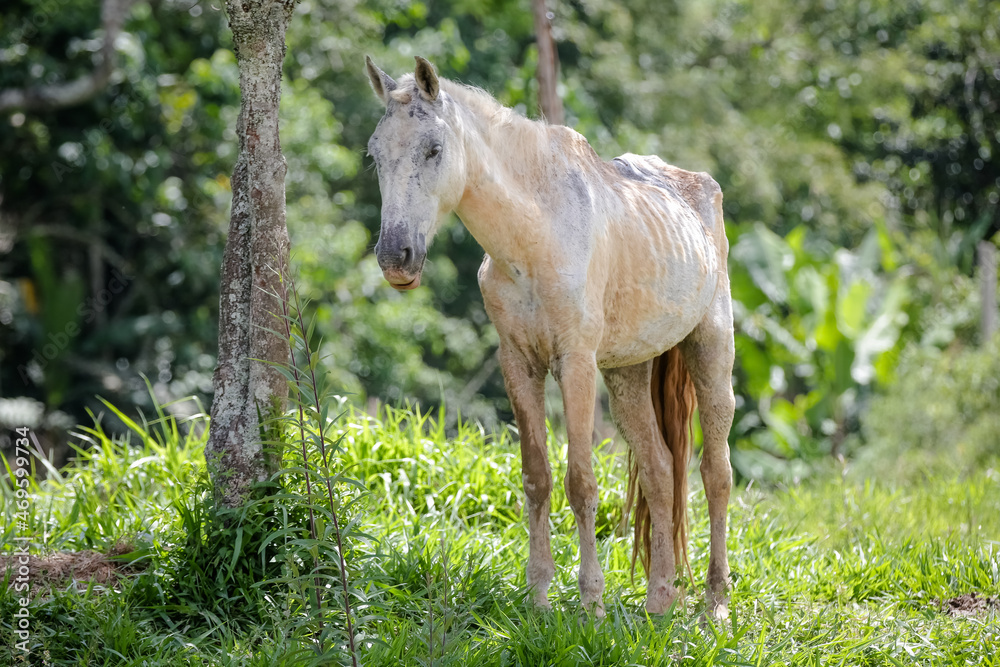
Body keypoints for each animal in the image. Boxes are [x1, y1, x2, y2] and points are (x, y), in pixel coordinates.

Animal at [364, 54, 732, 620]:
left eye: (434, 149)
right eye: (376, 154)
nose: (394, 257)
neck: (534, 240)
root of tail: (700, 188)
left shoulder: (574, 364)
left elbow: (581, 482)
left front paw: (591, 603)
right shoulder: (520, 364)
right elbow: (537, 477)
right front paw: (538, 597)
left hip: (711, 355)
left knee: (715, 474)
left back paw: (715, 604)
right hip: (627, 377)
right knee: (660, 471)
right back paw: (658, 602)